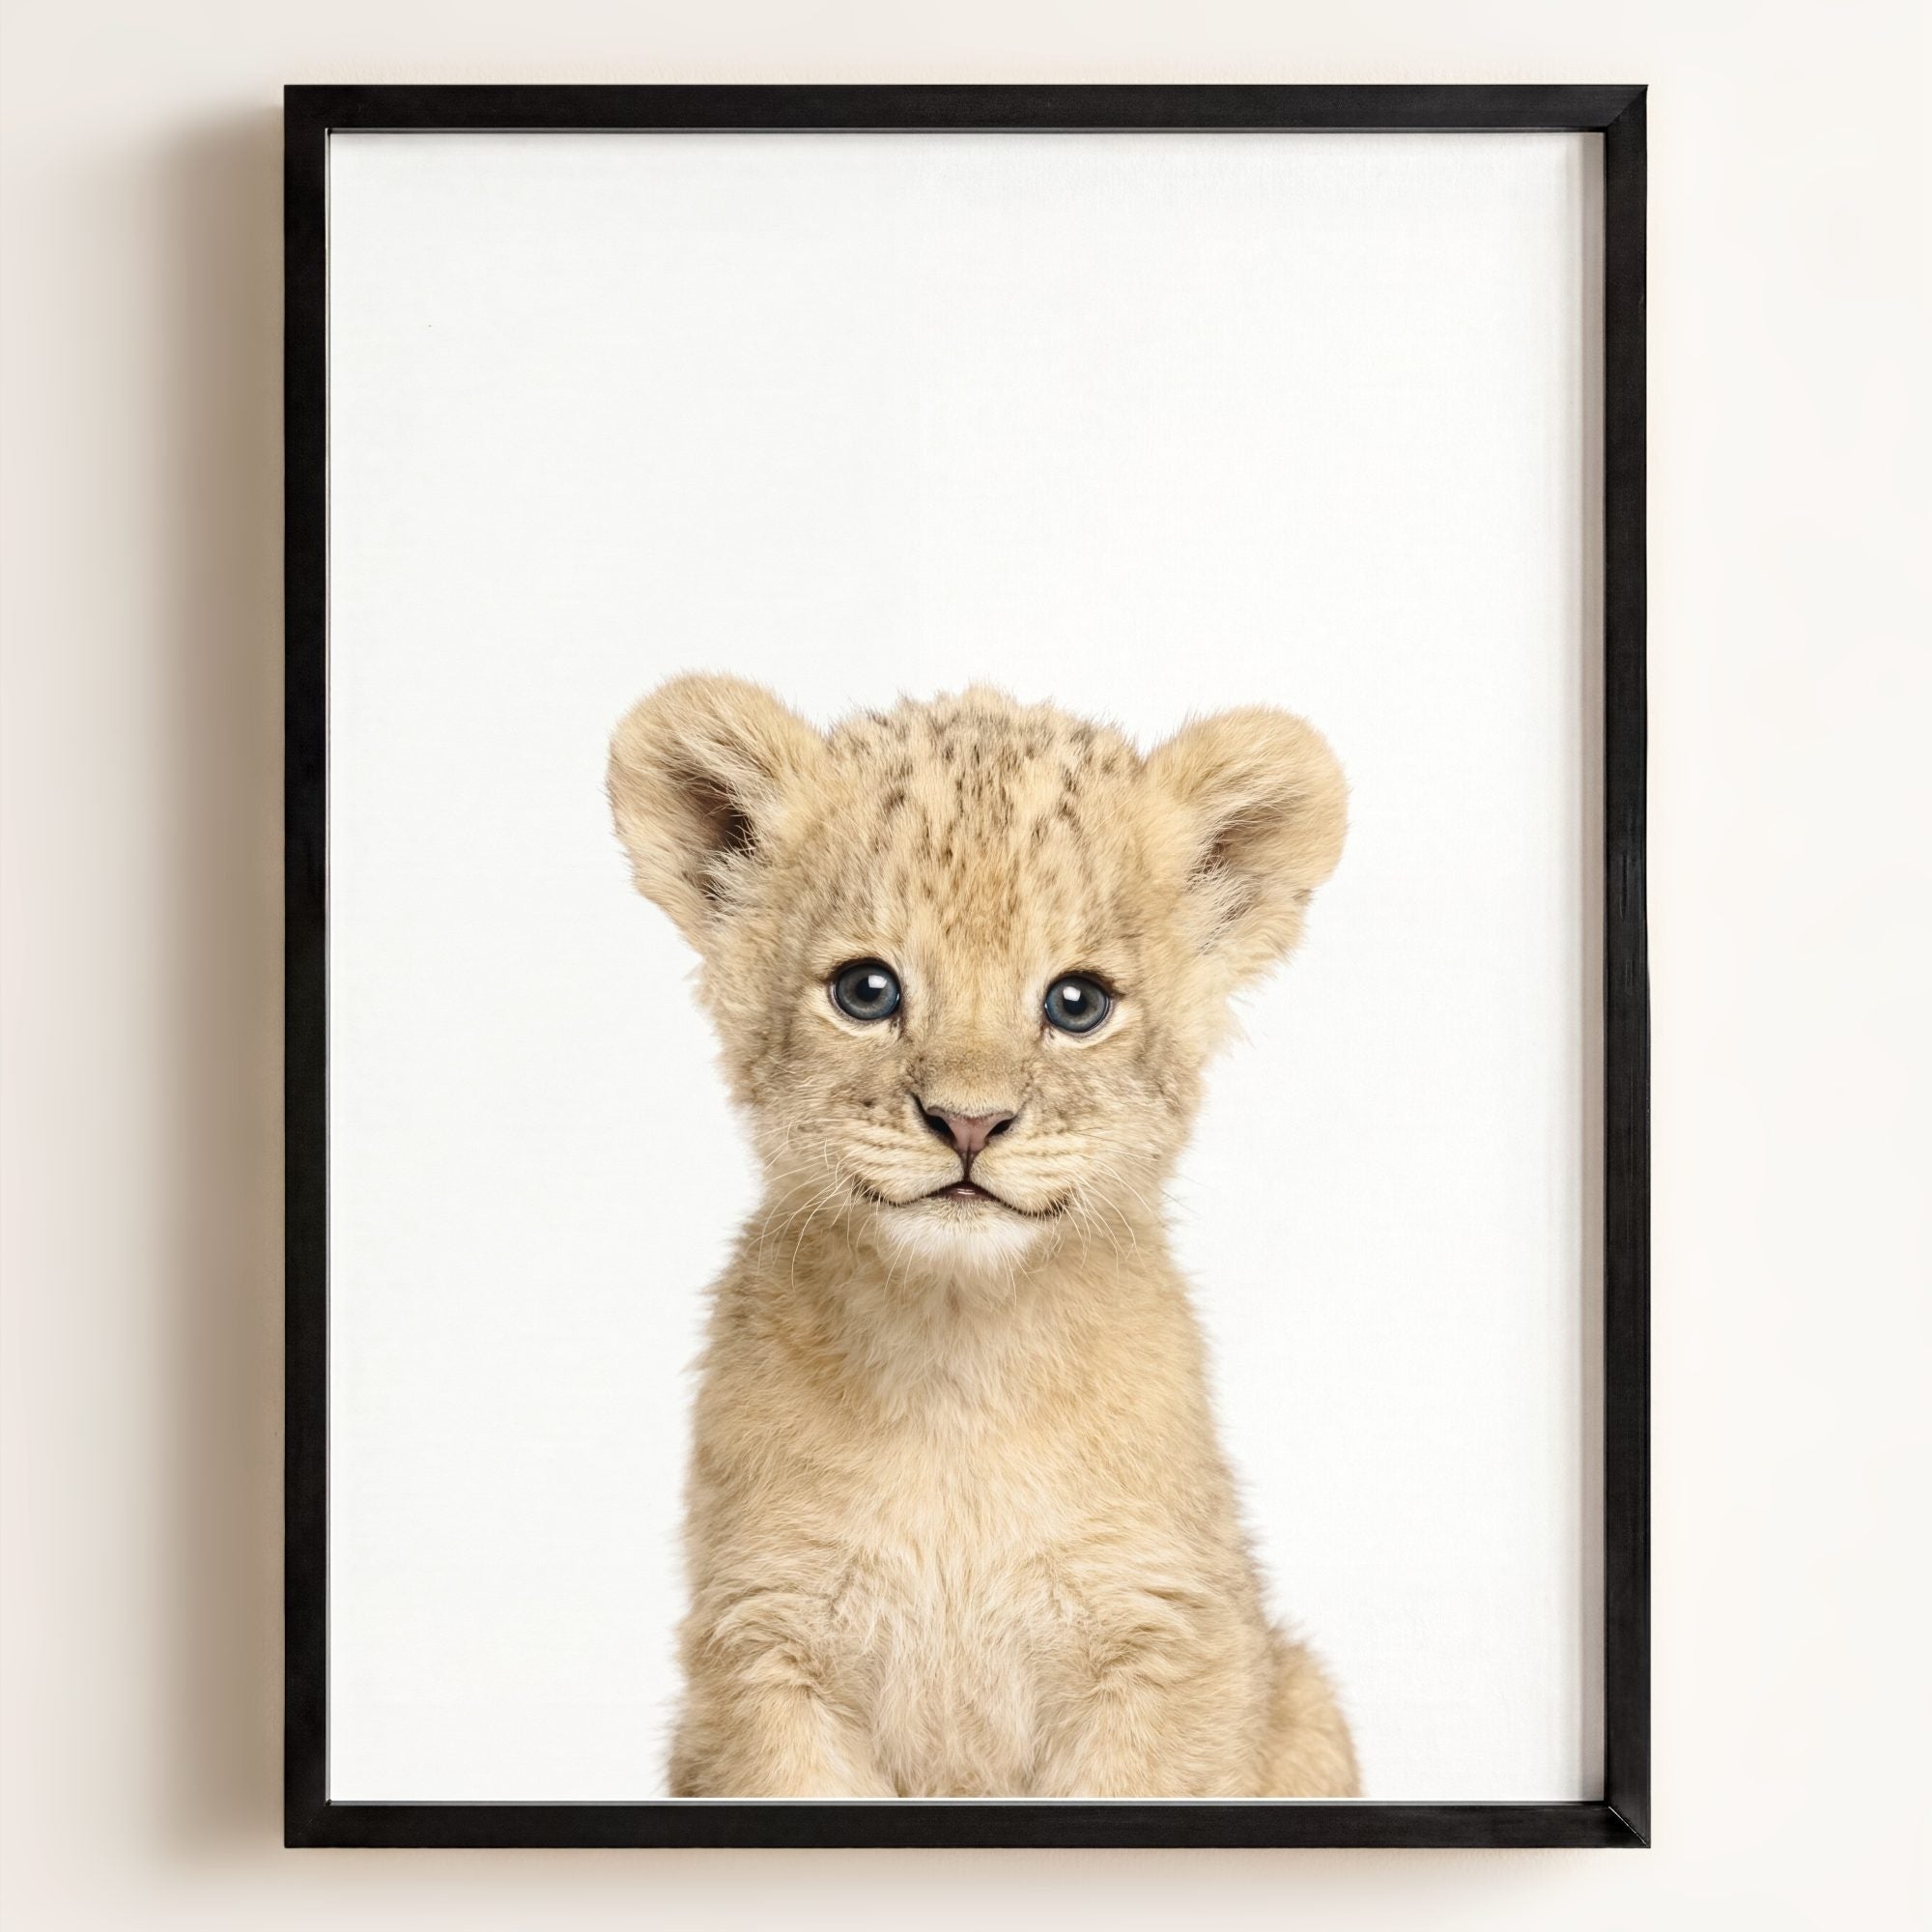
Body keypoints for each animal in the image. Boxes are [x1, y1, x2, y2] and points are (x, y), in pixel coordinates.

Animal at [608, 676, 1358, 1797]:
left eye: (1077, 1002)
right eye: (866, 991)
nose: (968, 1122)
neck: (957, 1366)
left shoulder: (1169, 1640)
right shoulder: (763, 1648)